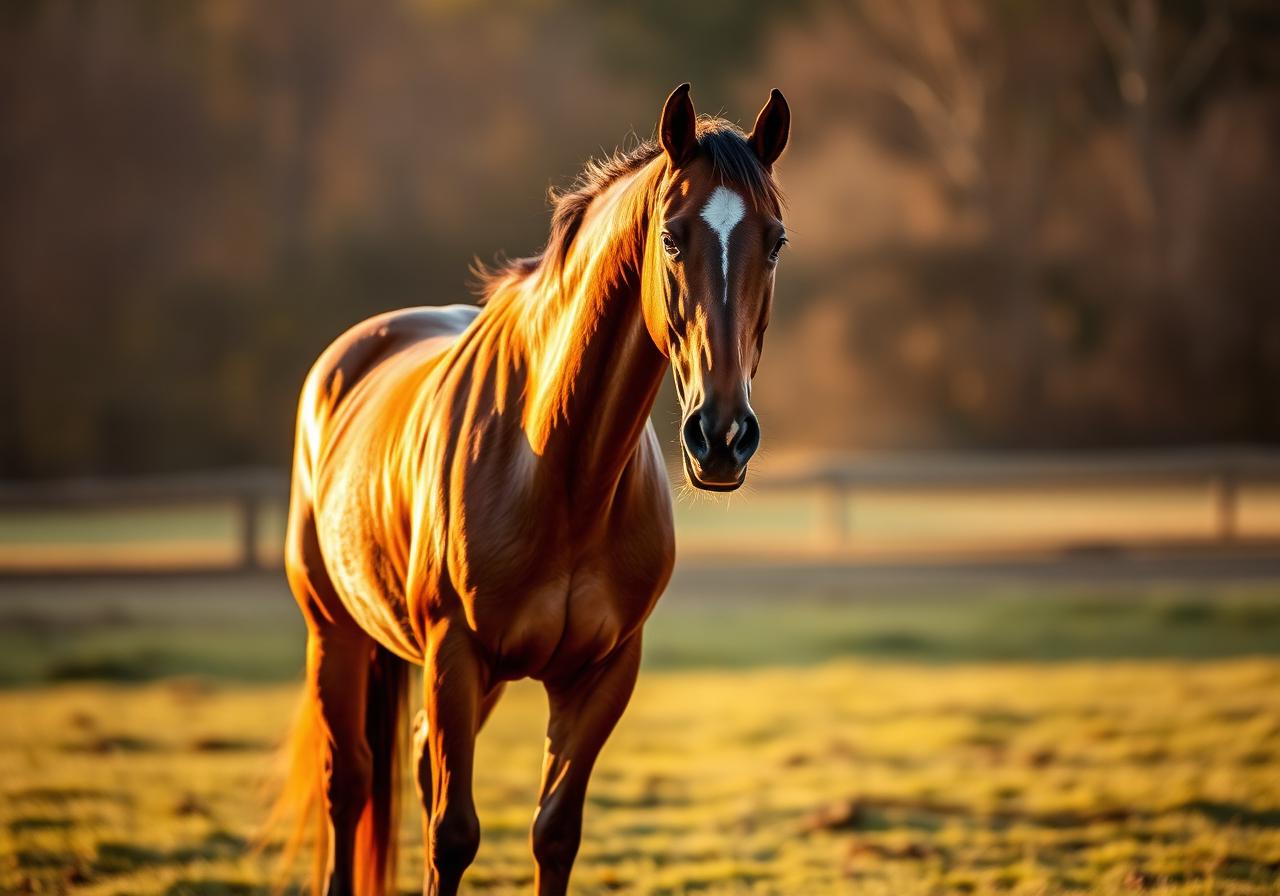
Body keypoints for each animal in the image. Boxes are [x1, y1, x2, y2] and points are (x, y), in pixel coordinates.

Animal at [270, 82, 790, 896]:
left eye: (776, 241)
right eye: (671, 238)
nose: (723, 435)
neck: (561, 471)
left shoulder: (601, 674)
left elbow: (555, 834)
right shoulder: (455, 656)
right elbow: (452, 835)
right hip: (336, 633)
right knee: (347, 783)